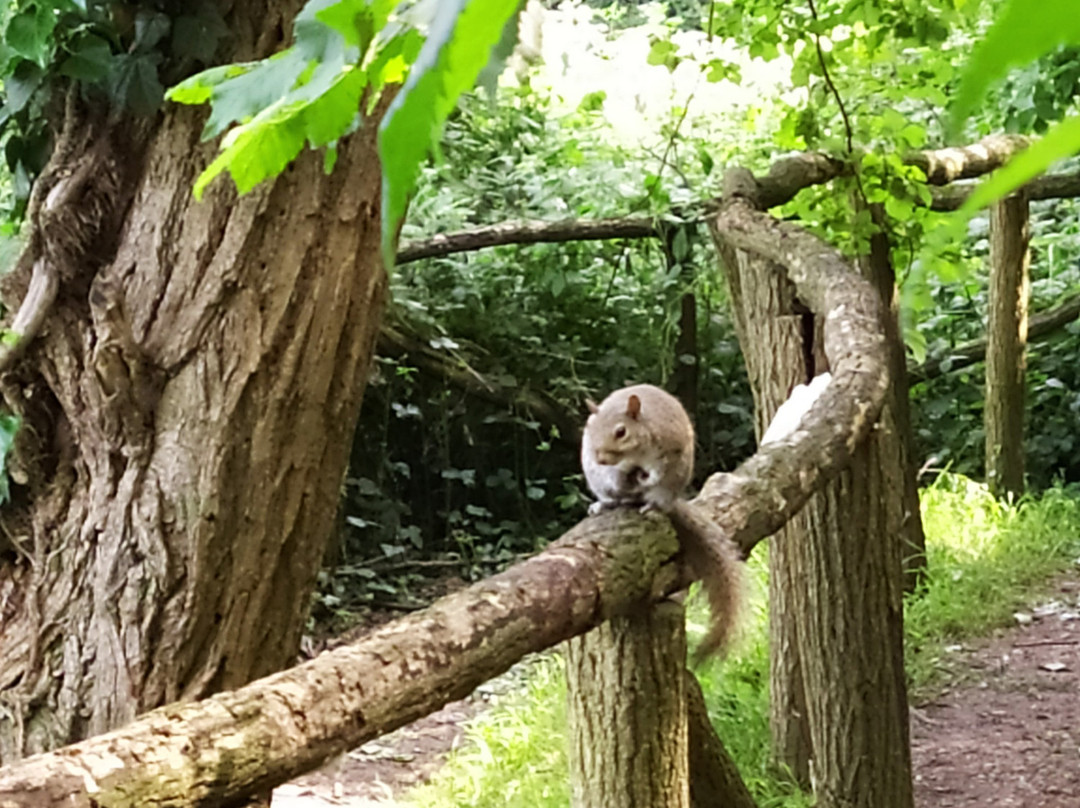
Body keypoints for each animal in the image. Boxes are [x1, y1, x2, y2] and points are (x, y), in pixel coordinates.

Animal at [578, 384, 747, 661]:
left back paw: (651, 505)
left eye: (621, 432)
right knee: (617, 498)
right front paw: (618, 480)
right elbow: (614, 477)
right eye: (590, 430)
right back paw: (605, 504)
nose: (600, 457)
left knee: (658, 496)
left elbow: (659, 470)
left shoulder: (669, 447)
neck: (634, 456)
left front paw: (647, 478)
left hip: (672, 484)